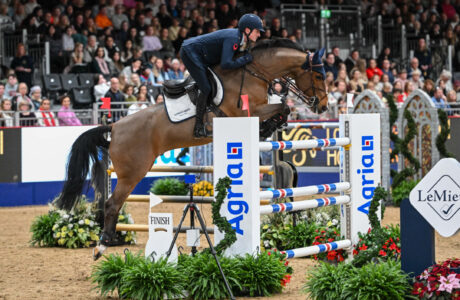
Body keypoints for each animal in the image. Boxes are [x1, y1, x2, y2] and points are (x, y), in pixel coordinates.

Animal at [55, 38, 328, 258]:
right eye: (318, 76)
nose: (322, 106)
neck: (253, 72)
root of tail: (113, 126)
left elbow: (282, 106)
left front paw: (274, 125)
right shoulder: (247, 111)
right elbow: (282, 106)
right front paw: (269, 126)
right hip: (133, 172)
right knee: (112, 204)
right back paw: (101, 246)